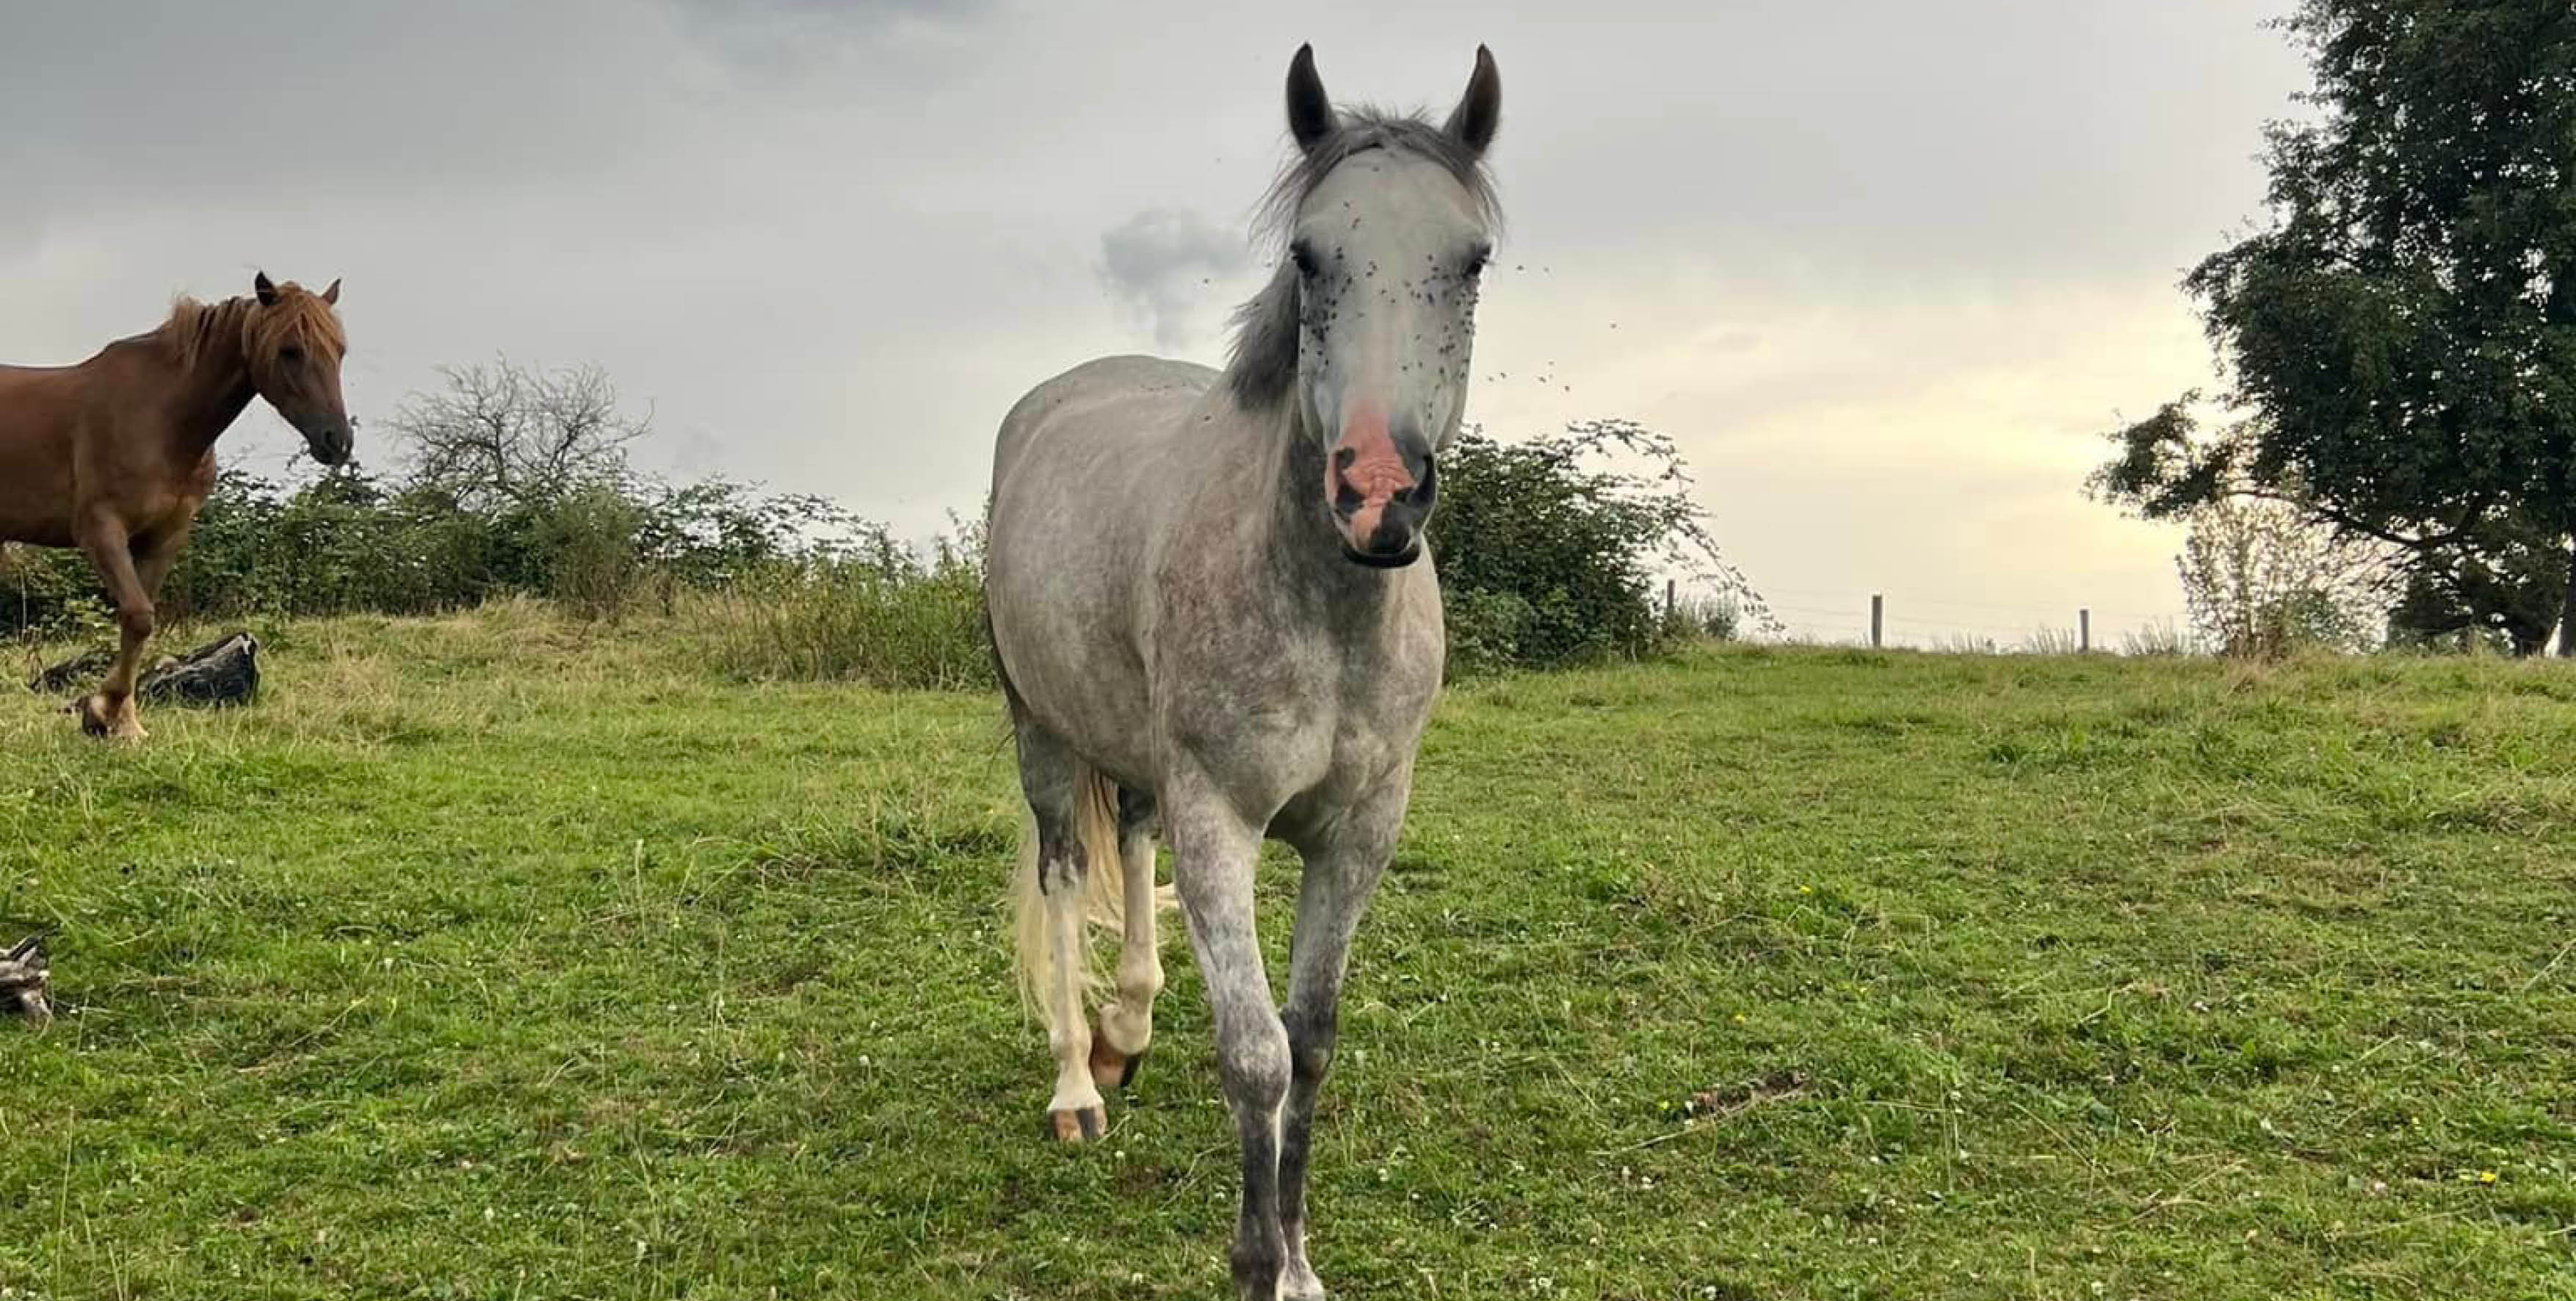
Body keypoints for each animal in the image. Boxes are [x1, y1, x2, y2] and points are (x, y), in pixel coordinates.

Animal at [0, 273, 352, 739]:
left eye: (340, 351)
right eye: (290, 350)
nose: (338, 442)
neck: (161, 418)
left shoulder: (165, 536)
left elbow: (139, 624)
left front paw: (120, 721)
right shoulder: (100, 528)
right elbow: (138, 616)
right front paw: (102, 711)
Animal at [985, 44, 1502, 1300]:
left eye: (1469, 260)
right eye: (1309, 256)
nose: (1376, 492)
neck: (1323, 604)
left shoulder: (1361, 829)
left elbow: (1310, 1044)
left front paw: (1301, 1265)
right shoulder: (1220, 816)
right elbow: (1257, 1054)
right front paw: (1257, 1262)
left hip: (1131, 752)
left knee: (1129, 840)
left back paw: (1126, 1032)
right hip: (1039, 729)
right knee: (1068, 874)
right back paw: (1075, 1083)